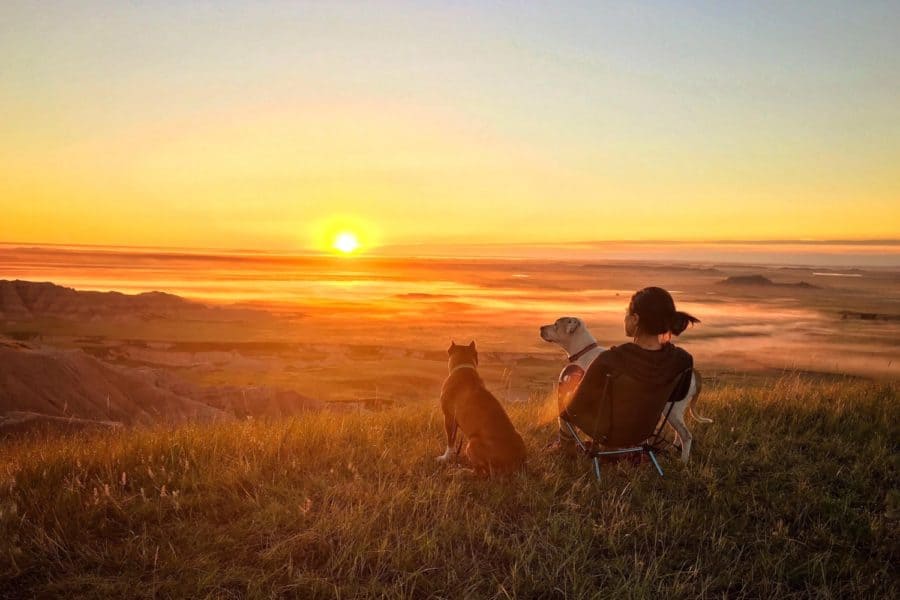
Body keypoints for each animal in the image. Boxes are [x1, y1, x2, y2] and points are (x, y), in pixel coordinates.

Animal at [436, 342, 528, 474]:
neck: (463, 368)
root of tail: (519, 462)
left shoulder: (449, 418)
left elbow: (450, 442)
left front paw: (445, 458)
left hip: (472, 443)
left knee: (481, 472)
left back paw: (461, 471)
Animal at [540, 316, 712, 462]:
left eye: (556, 324)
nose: (541, 327)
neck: (584, 351)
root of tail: (692, 371)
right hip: (673, 411)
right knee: (679, 433)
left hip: (673, 410)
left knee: (686, 435)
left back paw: (683, 461)